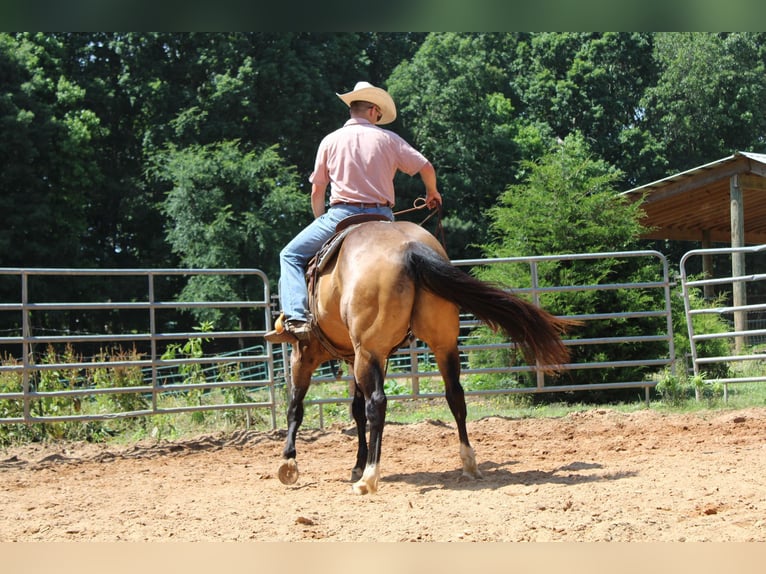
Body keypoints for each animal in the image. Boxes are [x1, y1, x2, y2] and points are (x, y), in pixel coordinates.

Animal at [276, 218, 576, 498]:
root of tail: (409, 248)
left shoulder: (306, 353)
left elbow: (296, 407)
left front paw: (289, 462)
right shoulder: (354, 357)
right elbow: (356, 410)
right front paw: (356, 464)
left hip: (370, 351)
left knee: (377, 404)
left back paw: (370, 478)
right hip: (442, 345)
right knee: (455, 395)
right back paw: (468, 464)